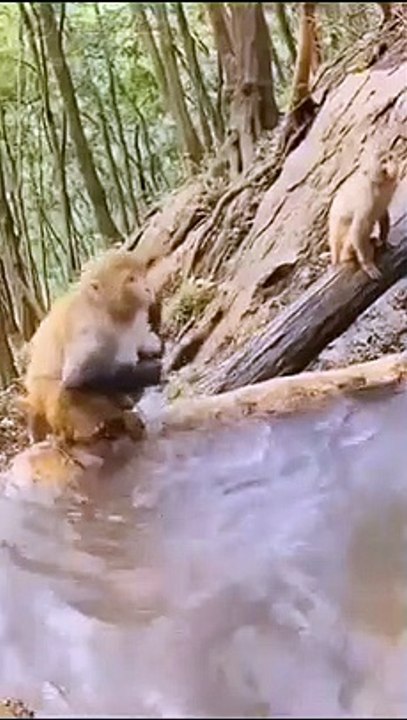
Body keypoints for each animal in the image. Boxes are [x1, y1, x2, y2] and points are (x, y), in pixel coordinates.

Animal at [21, 250, 164, 445]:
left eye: (142, 275)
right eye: (131, 279)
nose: (148, 289)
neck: (106, 309)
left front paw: (151, 348)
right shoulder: (86, 329)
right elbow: (76, 378)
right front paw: (151, 371)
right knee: (64, 394)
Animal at [328, 151, 399, 280]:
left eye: (390, 158)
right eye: (384, 161)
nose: (393, 166)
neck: (378, 182)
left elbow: (382, 213)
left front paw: (384, 240)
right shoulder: (366, 199)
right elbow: (358, 229)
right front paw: (368, 265)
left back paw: (374, 241)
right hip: (343, 250)